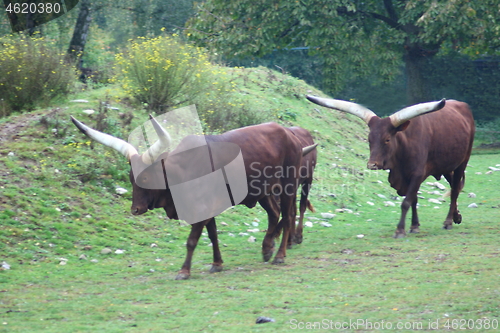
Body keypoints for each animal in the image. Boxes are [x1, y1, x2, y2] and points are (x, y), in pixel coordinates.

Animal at [71, 115, 316, 278]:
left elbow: (192, 240)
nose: (135, 209)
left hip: (289, 186)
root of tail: (291, 135)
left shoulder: (203, 210)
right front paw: (217, 263)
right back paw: (266, 249)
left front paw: (184, 270)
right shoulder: (209, 209)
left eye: (147, 178)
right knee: (275, 214)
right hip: (263, 190)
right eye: (131, 178)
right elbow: (213, 235)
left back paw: (280, 255)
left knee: (288, 214)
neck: (182, 171)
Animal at [306, 94, 474, 237]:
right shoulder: (407, 177)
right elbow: (413, 200)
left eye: (387, 139)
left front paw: (400, 230)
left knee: (454, 190)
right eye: (369, 139)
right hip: (446, 165)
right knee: (454, 185)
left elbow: (406, 202)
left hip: (463, 162)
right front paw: (414, 226)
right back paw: (456, 216)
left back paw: (448, 222)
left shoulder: (417, 174)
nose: (372, 164)